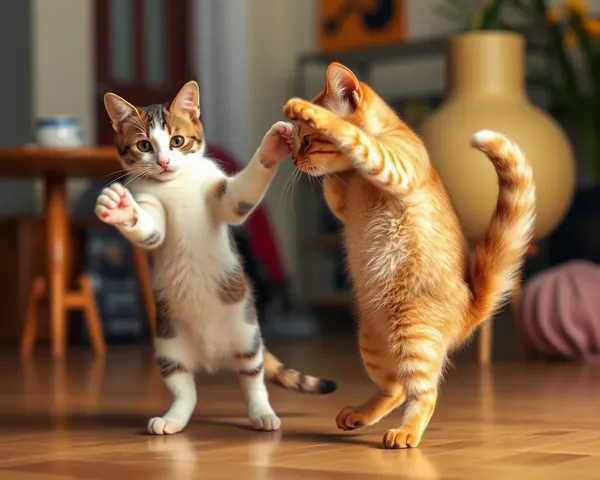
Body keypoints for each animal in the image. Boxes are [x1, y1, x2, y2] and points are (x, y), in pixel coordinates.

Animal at [96, 81, 336, 436]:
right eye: (144, 145)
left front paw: (273, 145)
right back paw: (172, 419)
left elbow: (238, 198)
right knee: (185, 389)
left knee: (253, 380)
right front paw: (121, 209)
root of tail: (210, 359)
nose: (164, 162)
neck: (176, 184)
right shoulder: (149, 205)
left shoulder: (223, 198)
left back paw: (263, 413)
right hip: (168, 344)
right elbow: (151, 230)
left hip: (247, 335)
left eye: (177, 141)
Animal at [284, 62, 536, 448]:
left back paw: (405, 432)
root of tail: (470, 308)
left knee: (424, 393)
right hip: (372, 344)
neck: (357, 179)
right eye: (298, 144)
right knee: (396, 389)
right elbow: (335, 186)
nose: (295, 157)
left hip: (412, 335)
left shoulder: (394, 165)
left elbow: (354, 136)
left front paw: (308, 111)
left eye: (309, 140)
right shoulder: (343, 203)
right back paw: (359, 415)